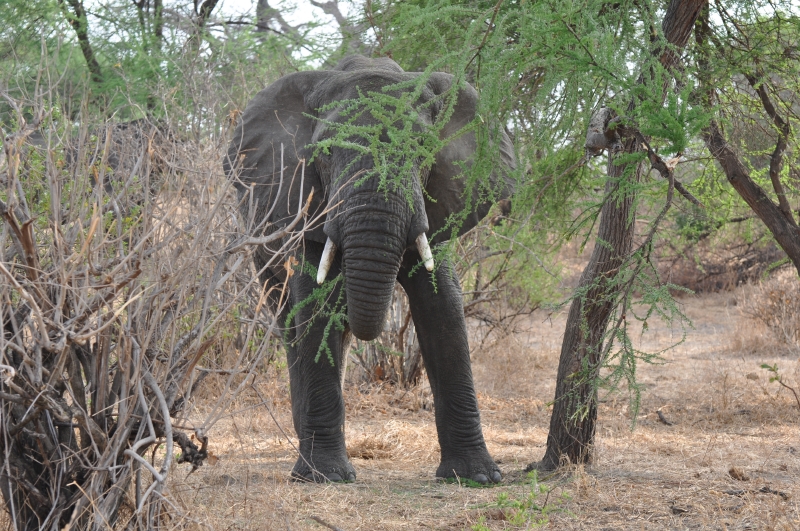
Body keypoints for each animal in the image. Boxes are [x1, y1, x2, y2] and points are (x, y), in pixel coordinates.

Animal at [224, 55, 516, 483]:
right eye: (326, 151)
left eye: (423, 148)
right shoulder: (302, 201)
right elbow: (315, 304)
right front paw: (325, 477)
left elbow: (443, 306)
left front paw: (476, 477)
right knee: (288, 322)